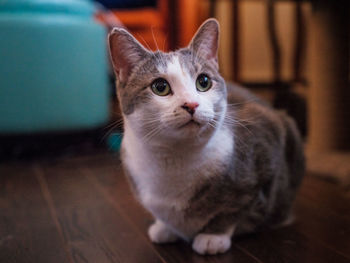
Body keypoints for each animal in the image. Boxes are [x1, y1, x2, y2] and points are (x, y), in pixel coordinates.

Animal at [108, 18, 304, 256]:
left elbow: (232, 209)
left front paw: (213, 236)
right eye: (160, 87)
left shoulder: (263, 146)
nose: (191, 104)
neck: (174, 159)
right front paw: (165, 227)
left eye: (203, 82)